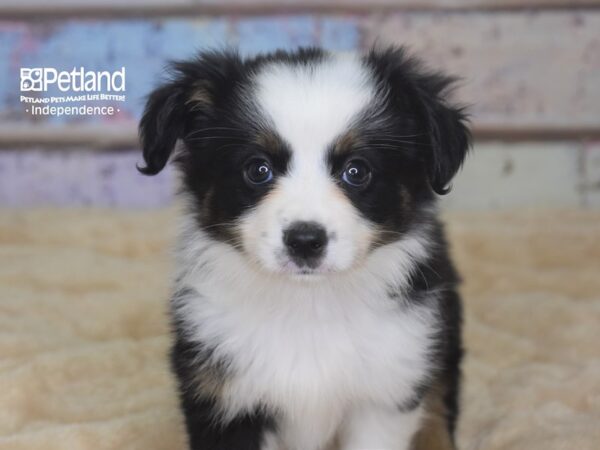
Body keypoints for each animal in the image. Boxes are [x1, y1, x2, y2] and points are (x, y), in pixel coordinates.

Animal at [139, 46, 468, 450]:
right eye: (258, 169)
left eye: (357, 171)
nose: (305, 241)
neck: (308, 305)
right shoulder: (223, 395)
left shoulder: (384, 392)